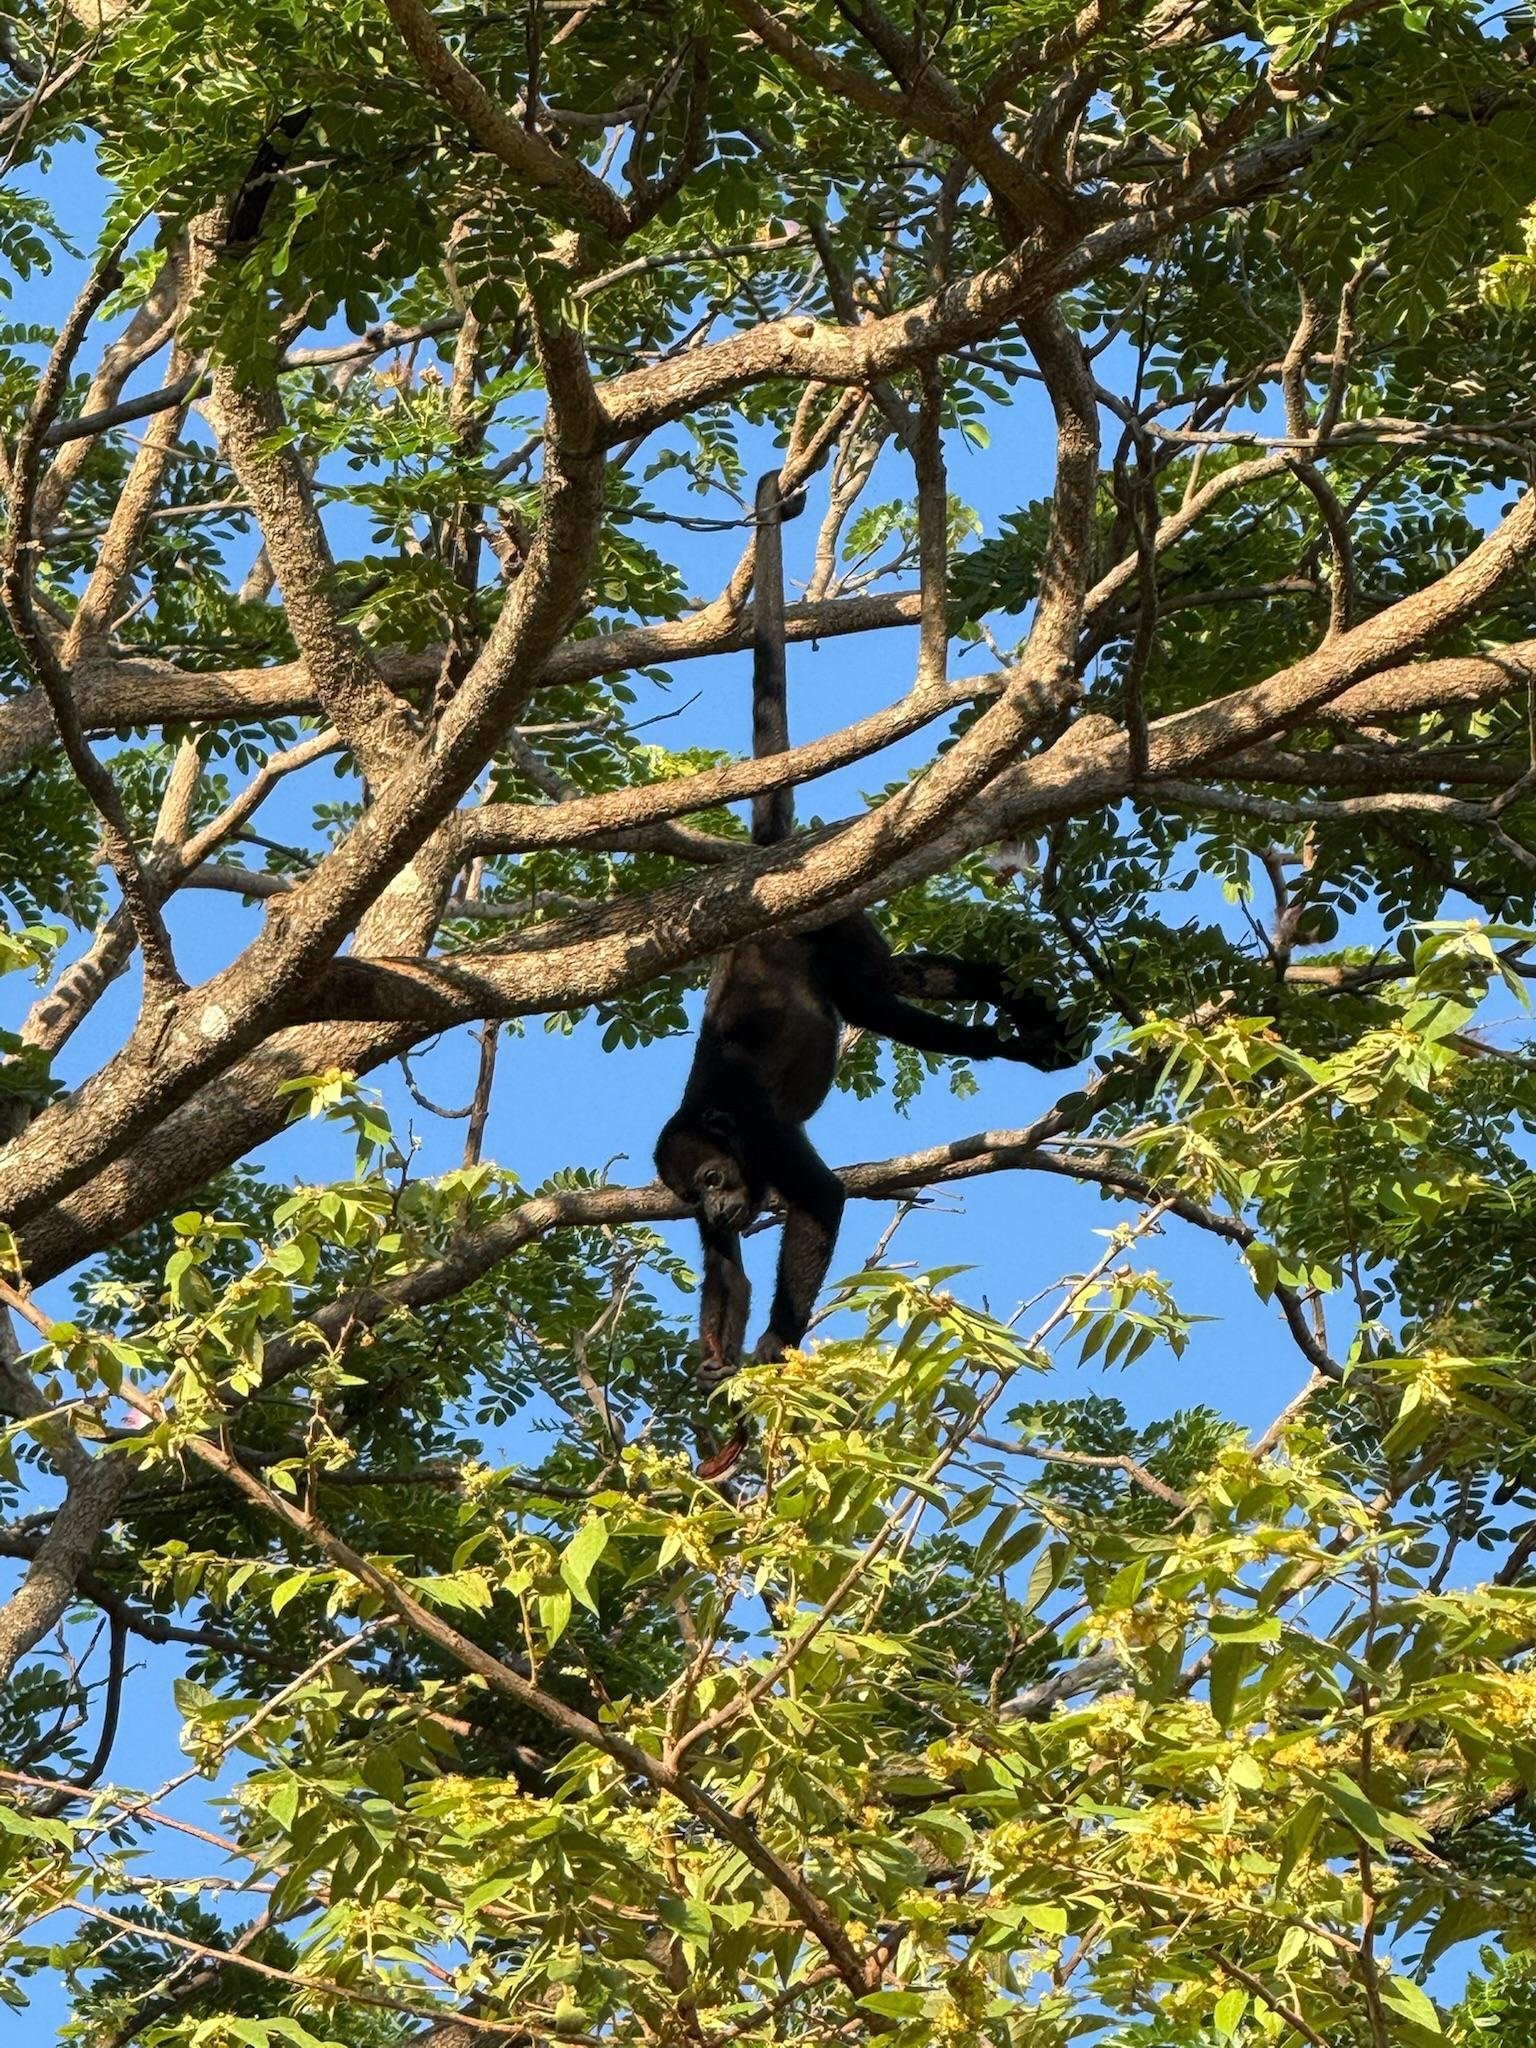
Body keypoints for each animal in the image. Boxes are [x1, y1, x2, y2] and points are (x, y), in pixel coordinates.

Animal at [655, 472, 1085, 1479]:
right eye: (694, 1194)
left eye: (717, 1176)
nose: (722, 1203)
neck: (712, 1117)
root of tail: (772, 875)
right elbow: (723, 1271)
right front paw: (718, 1405)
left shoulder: (761, 1126)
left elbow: (822, 1199)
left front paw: (774, 1347)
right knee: (900, 987)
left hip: (832, 919)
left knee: (885, 997)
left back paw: (1014, 1030)